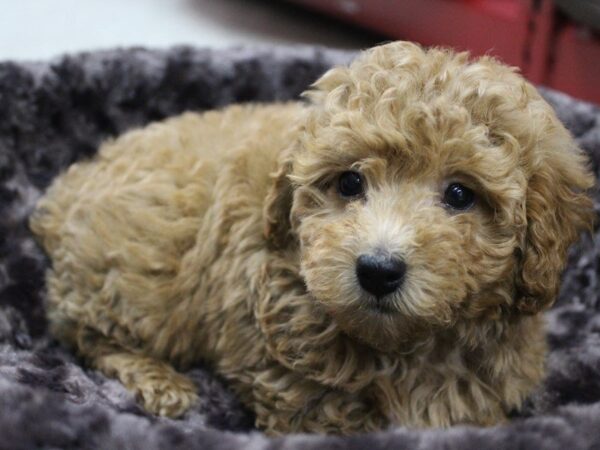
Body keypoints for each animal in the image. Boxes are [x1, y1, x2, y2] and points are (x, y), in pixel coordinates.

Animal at [30, 43, 592, 436]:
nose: (378, 271)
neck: (406, 346)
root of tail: (68, 188)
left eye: (460, 194)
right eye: (349, 183)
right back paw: (160, 381)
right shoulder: (289, 383)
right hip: (132, 282)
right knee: (85, 333)